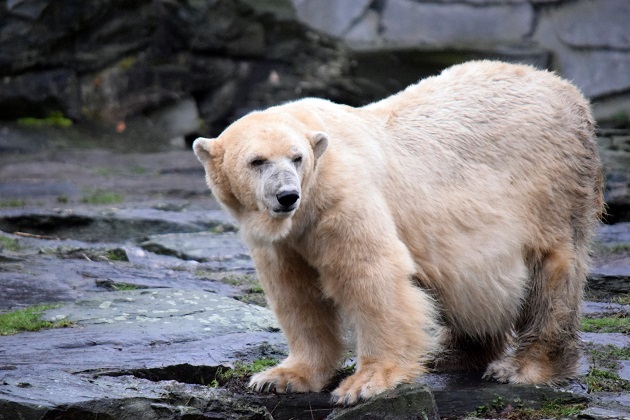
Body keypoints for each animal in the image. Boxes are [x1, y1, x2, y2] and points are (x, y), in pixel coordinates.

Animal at [194, 60, 608, 406]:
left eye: (296, 158)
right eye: (257, 161)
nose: (286, 196)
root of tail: (568, 91)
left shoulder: (343, 198)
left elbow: (371, 274)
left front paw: (366, 383)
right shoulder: (284, 241)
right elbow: (296, 294)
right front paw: (280, 377)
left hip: (547, 188)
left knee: (552, 273)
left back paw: (522, 367)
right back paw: (451, 353)